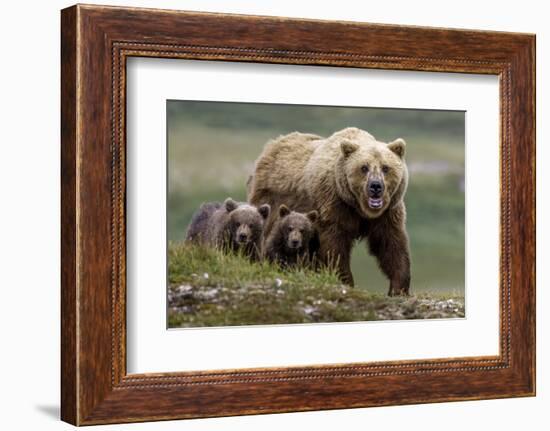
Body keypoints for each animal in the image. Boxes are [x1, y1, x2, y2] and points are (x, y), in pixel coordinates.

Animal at [248, 126, 412, 296]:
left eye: (386, 167)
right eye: (364, 167)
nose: (375, 186)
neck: (358, 207)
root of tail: (272, 145)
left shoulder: (388, 212)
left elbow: (391, 244)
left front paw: (399, 287)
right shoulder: (333, 204)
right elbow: (334, 246)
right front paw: (345, 280)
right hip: (272, 200)